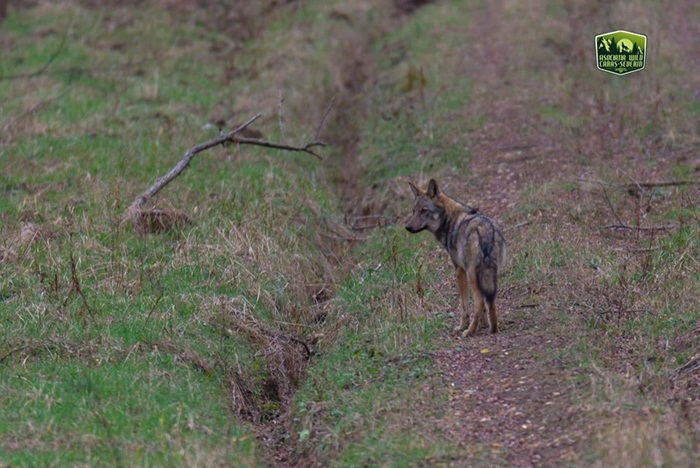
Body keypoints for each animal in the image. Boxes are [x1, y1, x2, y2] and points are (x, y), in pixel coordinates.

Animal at [406, 179, 506, 336]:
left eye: (424, 210)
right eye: (414, 211)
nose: (407, 227)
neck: (449, 220)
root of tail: (485, 229)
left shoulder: (459, 270)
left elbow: (464, 305)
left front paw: (462, 326)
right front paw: (483, 324)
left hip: (472, 275)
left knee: (479, 301)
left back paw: (469, 332)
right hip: (491, 275)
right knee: (490, 300)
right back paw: (493, 328)